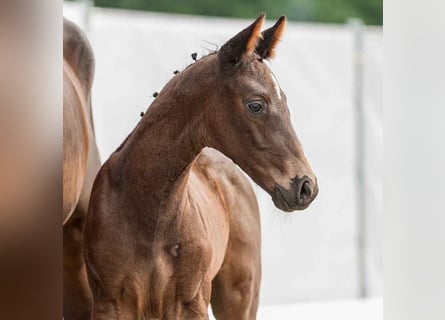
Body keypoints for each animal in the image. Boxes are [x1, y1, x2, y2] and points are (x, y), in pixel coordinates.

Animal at [83, 15, 318, 320]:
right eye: (255, 105)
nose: (305, 186)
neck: (151, 214)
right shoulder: (110, 304)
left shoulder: (191, 303)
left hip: (239, 296)